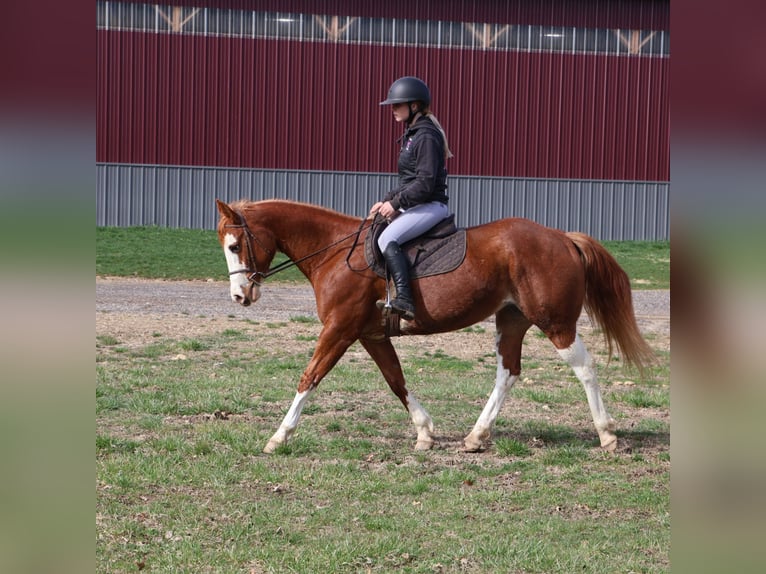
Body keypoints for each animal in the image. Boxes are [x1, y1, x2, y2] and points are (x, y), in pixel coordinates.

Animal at [215, 199, 654, 454]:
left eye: (235, 246)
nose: (239, 296)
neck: (337, 253)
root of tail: (562, 237)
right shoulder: (370, 334)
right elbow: (396, 380)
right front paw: (424, 432)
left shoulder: (339, 330)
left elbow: (310, 377)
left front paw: (279, 436)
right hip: (512, 320)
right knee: (508, 372)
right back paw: (476, 437)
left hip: (556, 322)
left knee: (584, 368)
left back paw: (607, 434)